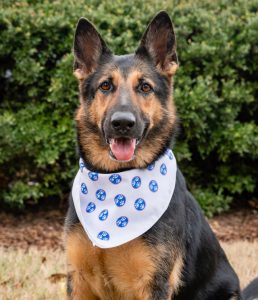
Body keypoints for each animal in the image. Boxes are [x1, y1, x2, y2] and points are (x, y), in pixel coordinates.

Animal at [65, 10, 258, 298]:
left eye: (145, 87)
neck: (117, 180)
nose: (123, 123)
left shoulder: (153, 282)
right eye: (105, 86)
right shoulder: (78, 281)